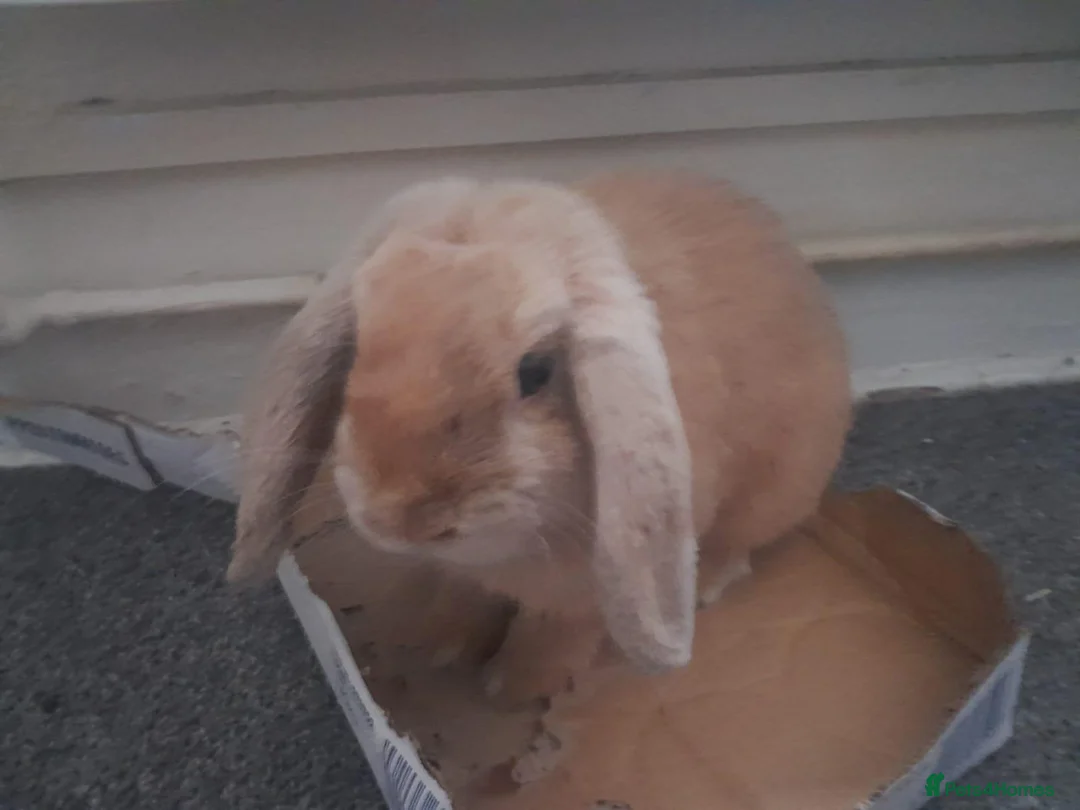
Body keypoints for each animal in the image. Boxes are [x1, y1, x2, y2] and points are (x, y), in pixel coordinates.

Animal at [227, 169, 853, 708]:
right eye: (358, 345)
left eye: (535, 372)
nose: (397, 517)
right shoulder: (468, 575)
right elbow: (466, 597)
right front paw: (442, 647)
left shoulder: (578, 598)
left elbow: (552, 632)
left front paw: (511, 688)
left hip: (773, 491)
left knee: (738, 544)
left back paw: (706, 584)